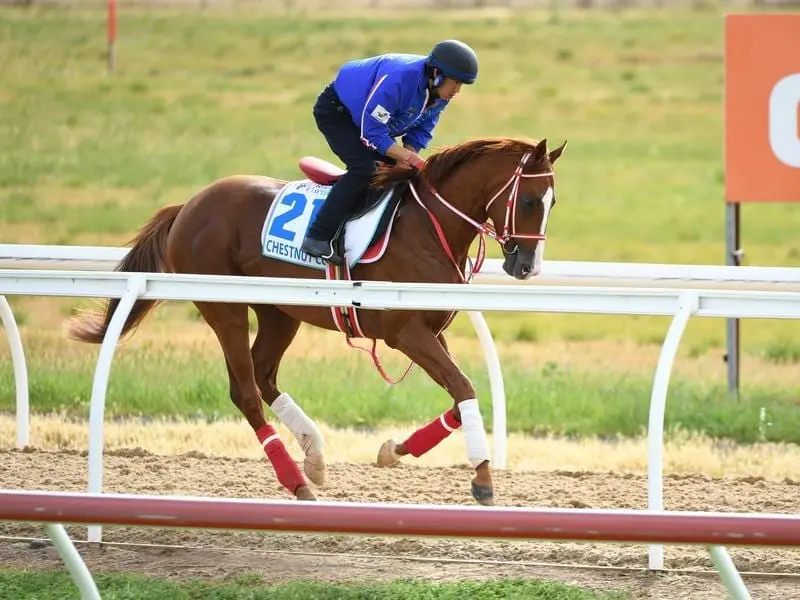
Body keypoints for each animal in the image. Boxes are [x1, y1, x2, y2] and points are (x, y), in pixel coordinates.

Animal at [70, 136, 568, 506]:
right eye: (528, 200)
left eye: (552, 202)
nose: (527, 266)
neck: (430, 226)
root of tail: (188, 205)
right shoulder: (404, 332)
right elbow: (463, 387)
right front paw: (483, 479)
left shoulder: (430, 330)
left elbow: (461, 392)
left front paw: (397, 449)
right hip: (225, 306)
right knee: (245, 390)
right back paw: (297, 482)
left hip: (279, 313)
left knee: (265, 377)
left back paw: (314, 457)